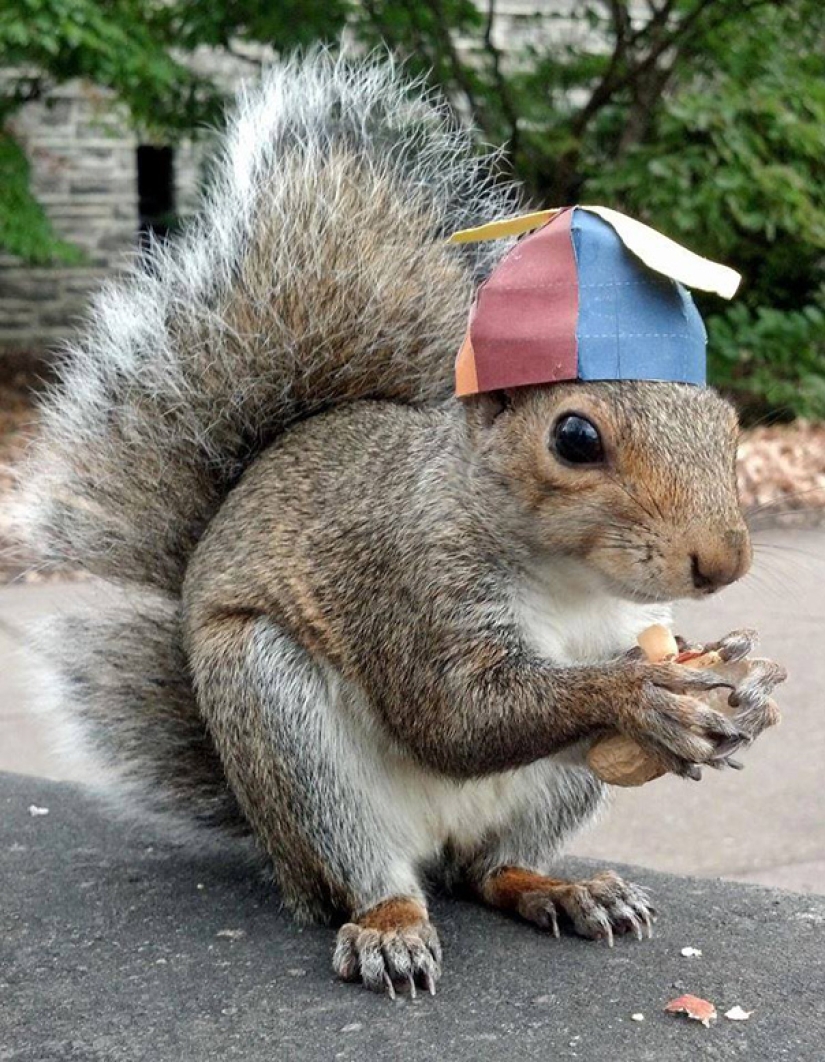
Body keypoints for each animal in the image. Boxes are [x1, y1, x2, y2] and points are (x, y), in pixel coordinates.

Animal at [14, 53, 786, 998]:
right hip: (282, 728)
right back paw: (389, 929)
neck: (564, 581)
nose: (723, 562)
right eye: (574, 438)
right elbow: (454, 715)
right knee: (370, 875)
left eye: (726, 422)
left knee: (489, 869)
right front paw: (638, 695)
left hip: (551, 795)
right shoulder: (406, 578)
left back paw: (563, 888)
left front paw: (740, 689)